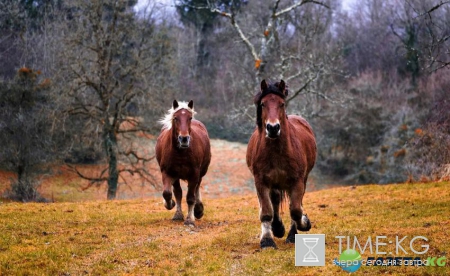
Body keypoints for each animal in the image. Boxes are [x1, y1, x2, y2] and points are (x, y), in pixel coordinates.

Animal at [246, 79, 316, 248]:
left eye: (282, 104)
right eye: (263, 104)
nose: (273, 128)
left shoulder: (297, 181)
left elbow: (296, 210)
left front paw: (304, 224)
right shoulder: (261, 181)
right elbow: (266, 211)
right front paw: (267, 240)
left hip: (301, 180)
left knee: (294, 203)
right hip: (275, 183)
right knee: (275, 200)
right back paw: (277, 228)